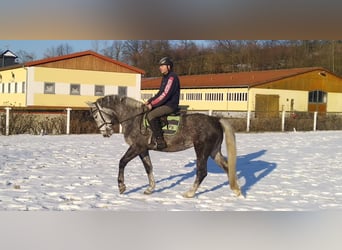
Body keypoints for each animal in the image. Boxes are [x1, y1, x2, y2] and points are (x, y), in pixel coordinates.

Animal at [88, 94, 240, 198]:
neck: (133, 118)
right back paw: (236, 191)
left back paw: (189, 193)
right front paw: (150, 189)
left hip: (201, 150)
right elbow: (148, 167)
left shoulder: (136, 147)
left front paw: (121, 186)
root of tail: (216, 120)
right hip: (214, 151)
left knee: (202, 172)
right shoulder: (143, 149)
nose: (105, 133)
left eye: (95, 116)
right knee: (227, 167)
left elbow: (122, 162)